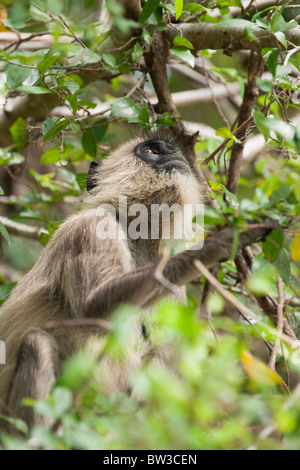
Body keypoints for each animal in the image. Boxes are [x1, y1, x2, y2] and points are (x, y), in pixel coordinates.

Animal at [0, 129, 274, 430]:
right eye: (150, 151)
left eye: (168, 150)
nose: (172, 153)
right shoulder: (92, 227)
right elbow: (92, 307)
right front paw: (219, 244)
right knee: (38, 343)